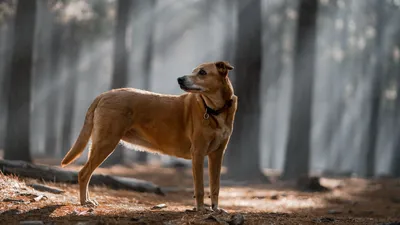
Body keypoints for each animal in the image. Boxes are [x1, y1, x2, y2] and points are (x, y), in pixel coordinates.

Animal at [60, 60, 238, 212]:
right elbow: (199, 187)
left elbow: (215, 186)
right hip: (106, 142)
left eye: (202, 72)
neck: (215, 110)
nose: (180, 79)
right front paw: (200, 210)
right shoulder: (198, 153)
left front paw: (216, 209)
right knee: (84, 173)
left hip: (101, 143)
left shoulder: (217, 154)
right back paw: (85, 202)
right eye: (194, 71)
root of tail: (104, 94)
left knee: (87, 173)